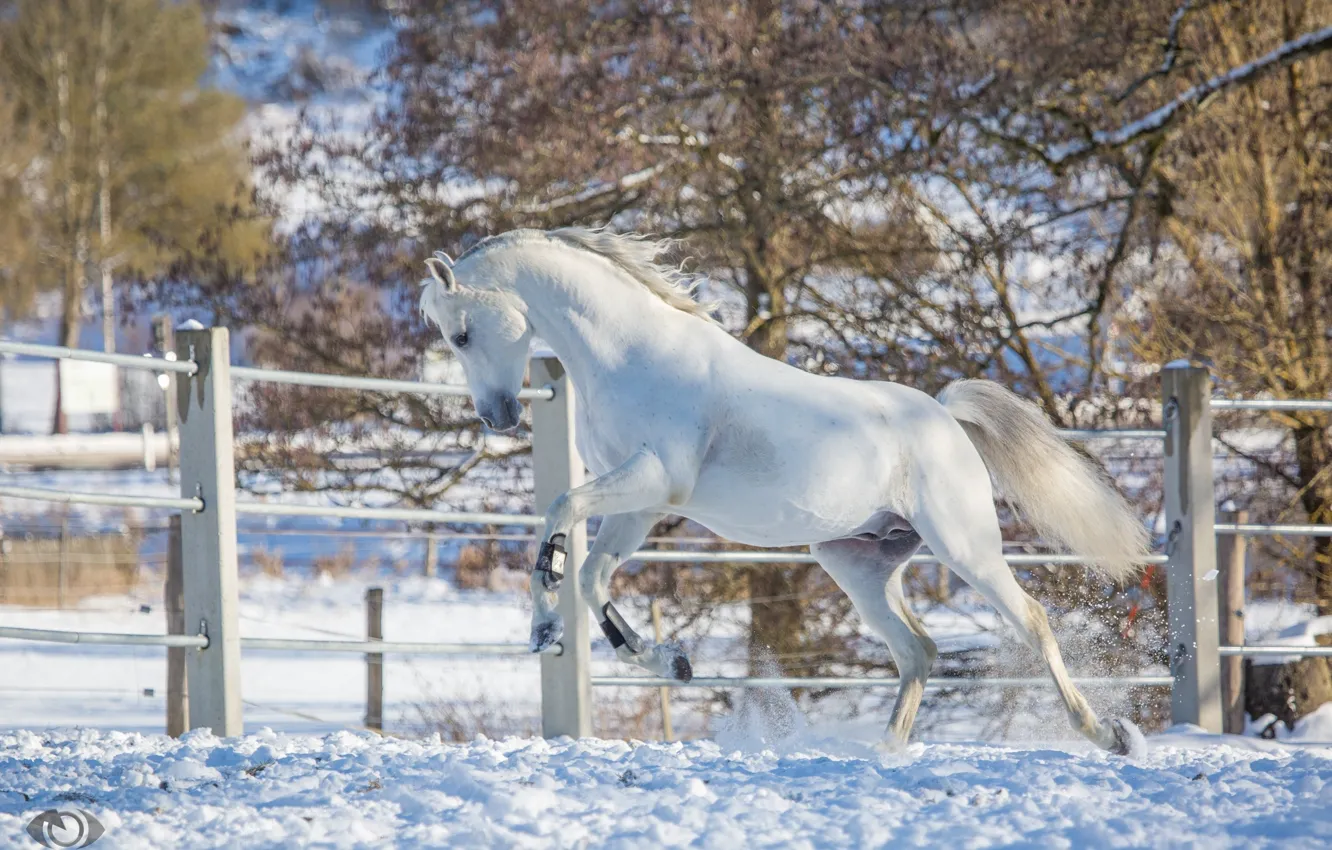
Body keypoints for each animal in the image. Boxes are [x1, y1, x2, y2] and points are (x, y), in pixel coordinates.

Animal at [419, 227, 1150, 753]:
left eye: (462, 333)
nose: (497, 418)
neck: (629, 355)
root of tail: (944, 416)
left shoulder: (654, 480)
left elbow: (559, 511)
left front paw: (548, 628)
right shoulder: (641, 504)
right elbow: (591, 574)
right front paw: (666, 661)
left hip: (964, 548)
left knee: (1031, 621)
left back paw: (1111, 736)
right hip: (857, 562)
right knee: (918, 651)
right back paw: (884, 756)